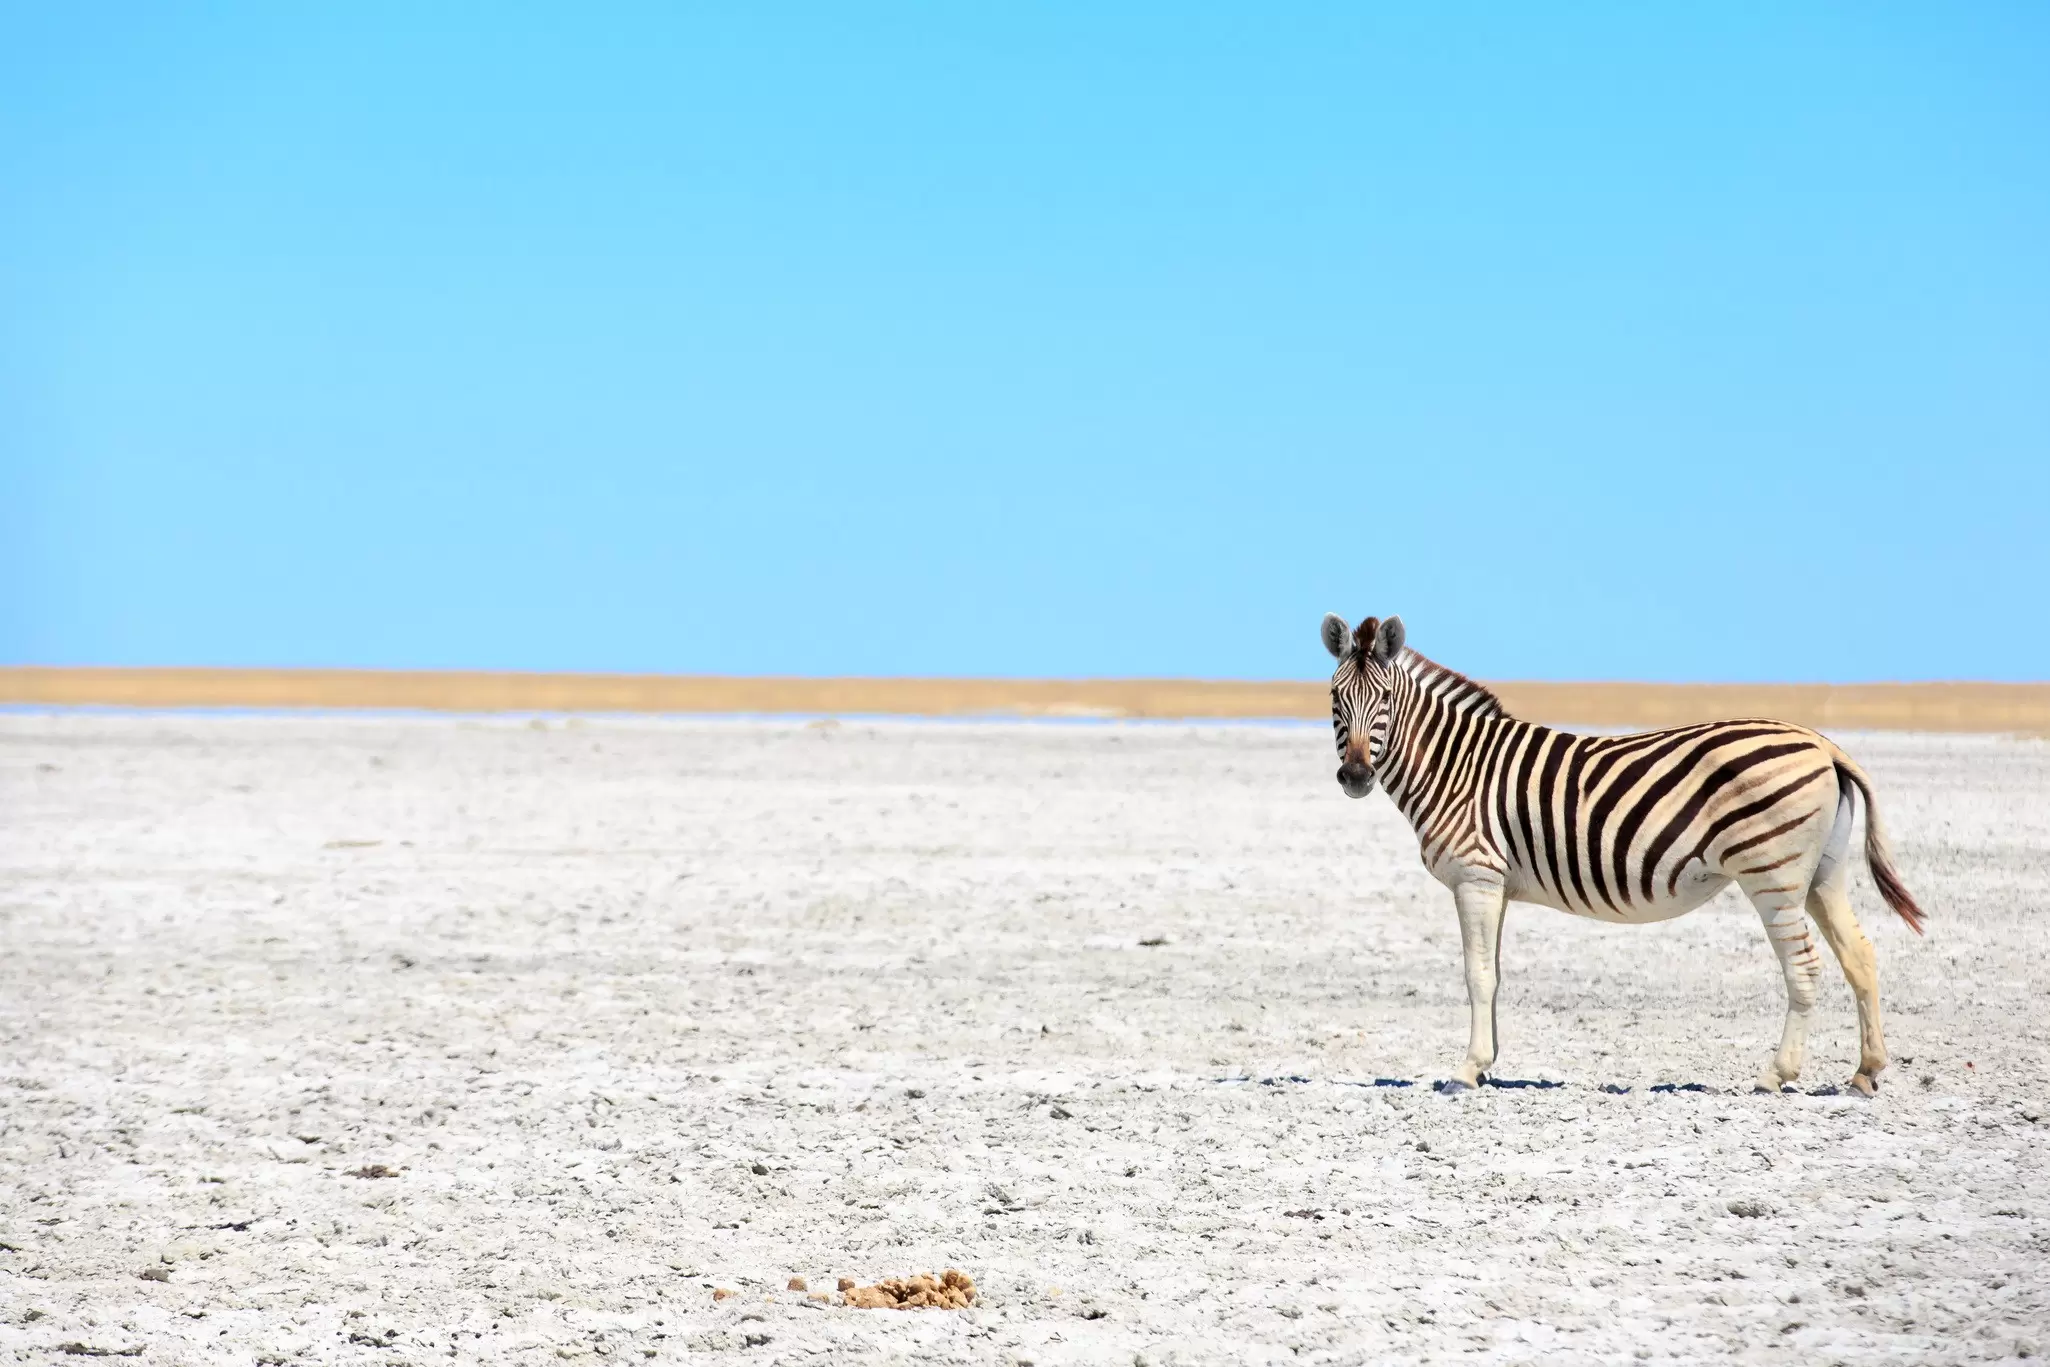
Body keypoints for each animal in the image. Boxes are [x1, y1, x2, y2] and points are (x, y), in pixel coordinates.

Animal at [1321, 611, 1925, 1095]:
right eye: (1335, 700)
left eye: (1384, 701)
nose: (1354, 777)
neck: (1455, 765)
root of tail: (1823, 744)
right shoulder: (1497, 886)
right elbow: (1494, 972)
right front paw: (1488, 1064)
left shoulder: (1476, 878)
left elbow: (1478, 975)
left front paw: (1467, 1072)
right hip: (1822, 873)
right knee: (1859, 955)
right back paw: (1866, 1072)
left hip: (1770, 873)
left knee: (1804, 965)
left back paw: (1776, 1075)